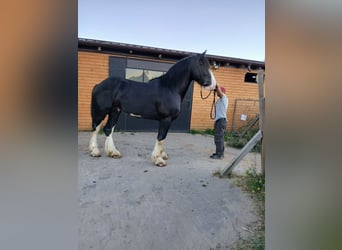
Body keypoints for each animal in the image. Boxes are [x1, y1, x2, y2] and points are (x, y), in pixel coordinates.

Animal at [88, 50, 216, 166]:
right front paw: (158, 159)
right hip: (101, 112)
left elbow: (163, 138)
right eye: (200, 64)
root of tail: (98, 85)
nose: (213, 85)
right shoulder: (166, 119)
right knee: (96, 128)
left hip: (115, 111)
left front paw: (162, 155)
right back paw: (95, 151)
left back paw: (113, 152)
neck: (170, 87)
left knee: (108, 129)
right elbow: (161, 137)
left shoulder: (167, 120)